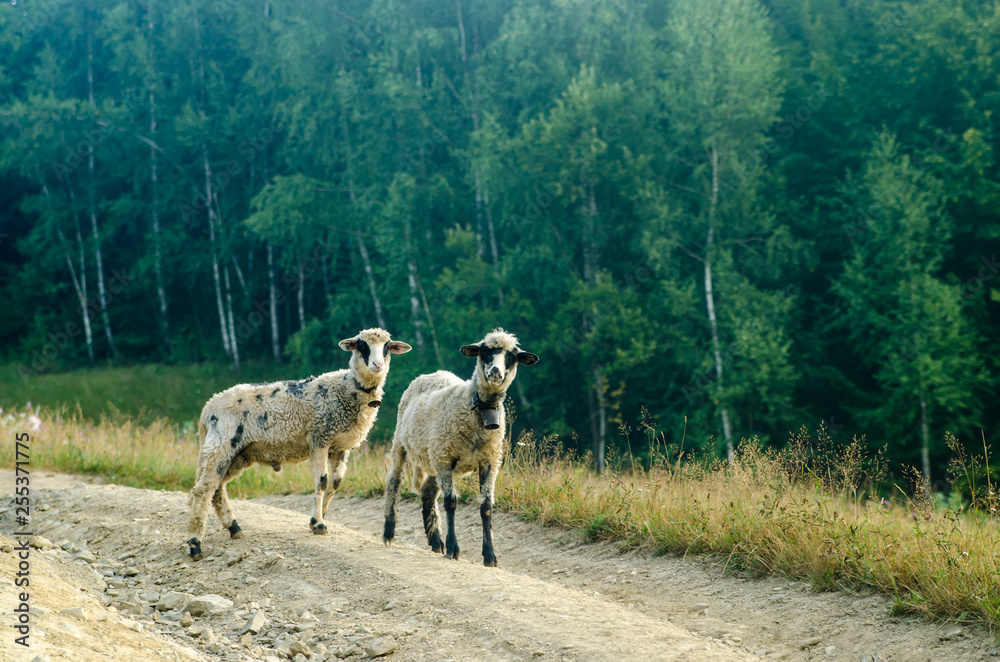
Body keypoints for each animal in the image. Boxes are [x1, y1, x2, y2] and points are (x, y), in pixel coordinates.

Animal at [186, 327, 411, 560]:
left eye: (387, 346)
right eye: (361, 345)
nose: (377, 365)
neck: (348, 388)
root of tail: (207, 409)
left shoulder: (340, 447)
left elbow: (335, 483)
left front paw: (318, 517)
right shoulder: (320, 438)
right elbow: (322, 481)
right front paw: (319, 524)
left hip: (239, 454)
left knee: (217, 489)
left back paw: (233, 527)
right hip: (223, 444)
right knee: (202, 490)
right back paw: (195, 544)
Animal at [382, 328, 539, 567]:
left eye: (512, 355)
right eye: (484, 351)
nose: (495, 372)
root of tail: (432, 374)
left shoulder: (489, 461)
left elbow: (486, 507)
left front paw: (490, 556)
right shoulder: (446, 458)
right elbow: (451, 503)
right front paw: (453, 549)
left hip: (434, 456)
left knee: (427, 493)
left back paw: (436, 542)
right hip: (403, 445)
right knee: (394, 481)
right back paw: (389, 532)